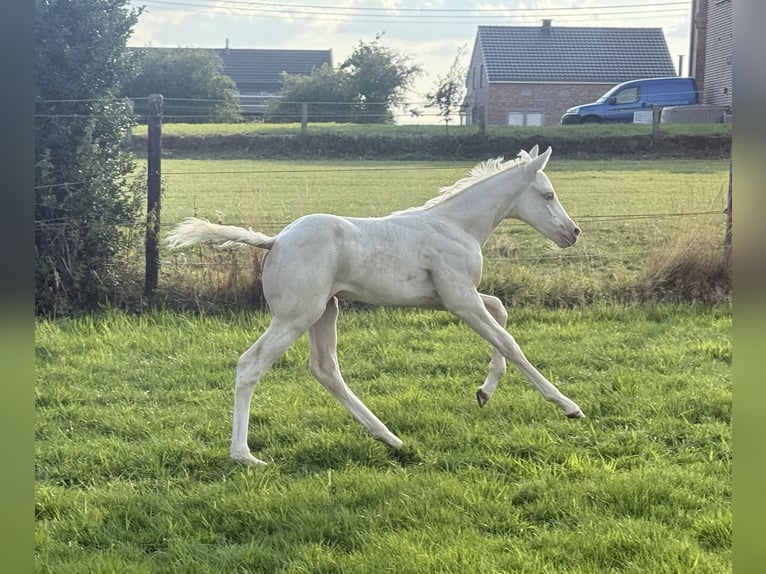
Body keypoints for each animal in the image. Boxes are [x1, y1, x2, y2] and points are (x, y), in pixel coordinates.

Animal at [167, 145, 584, 466]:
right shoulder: (460, 299)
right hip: (296, 316)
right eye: (548, 195)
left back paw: (390, 438)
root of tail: (275, 241)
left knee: (325, 369)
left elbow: (500, 310)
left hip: (325, 311)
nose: (573, 233)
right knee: (251, 364)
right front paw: (568, 405)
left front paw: (484, 392)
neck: (456, 225)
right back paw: (245, 455)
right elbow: (509, 342)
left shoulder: (450, 297)